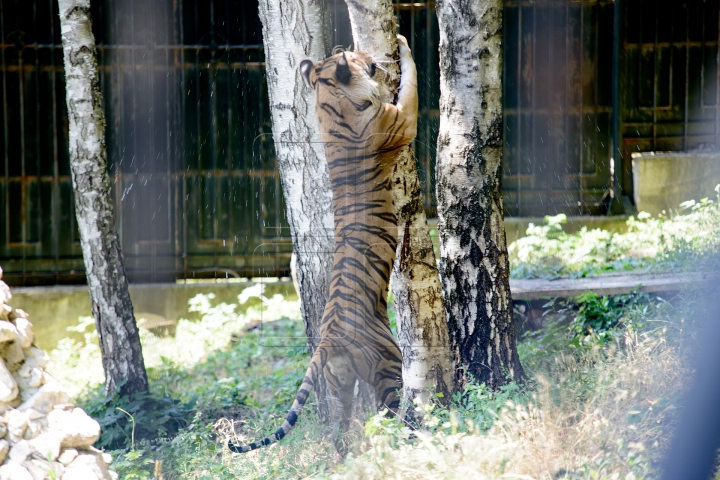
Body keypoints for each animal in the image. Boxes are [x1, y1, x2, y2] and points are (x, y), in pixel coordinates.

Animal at [228, 35, 420, 456]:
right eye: (354, 56)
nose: (363, 52)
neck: (328, 98)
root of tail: (328, 338)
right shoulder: (400, 119)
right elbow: (412, 84)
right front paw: (404, 45)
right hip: (388, 362)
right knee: (386, 412)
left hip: (338, 383)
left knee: (340, 433)